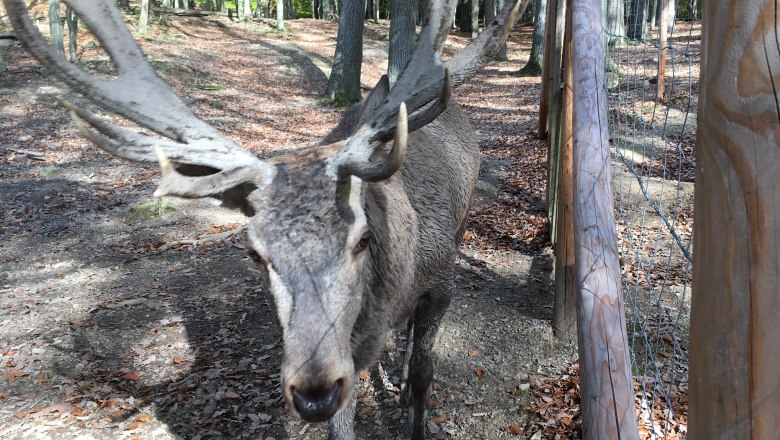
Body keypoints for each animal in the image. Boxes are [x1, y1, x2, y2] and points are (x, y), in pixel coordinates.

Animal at [3, 0, 528, 438]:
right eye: (255, 253)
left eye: (362, 238)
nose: (313, 393)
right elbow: (344, 417)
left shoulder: (442, 281)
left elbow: (423, 373)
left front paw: (410, 399)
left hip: (462, 223)